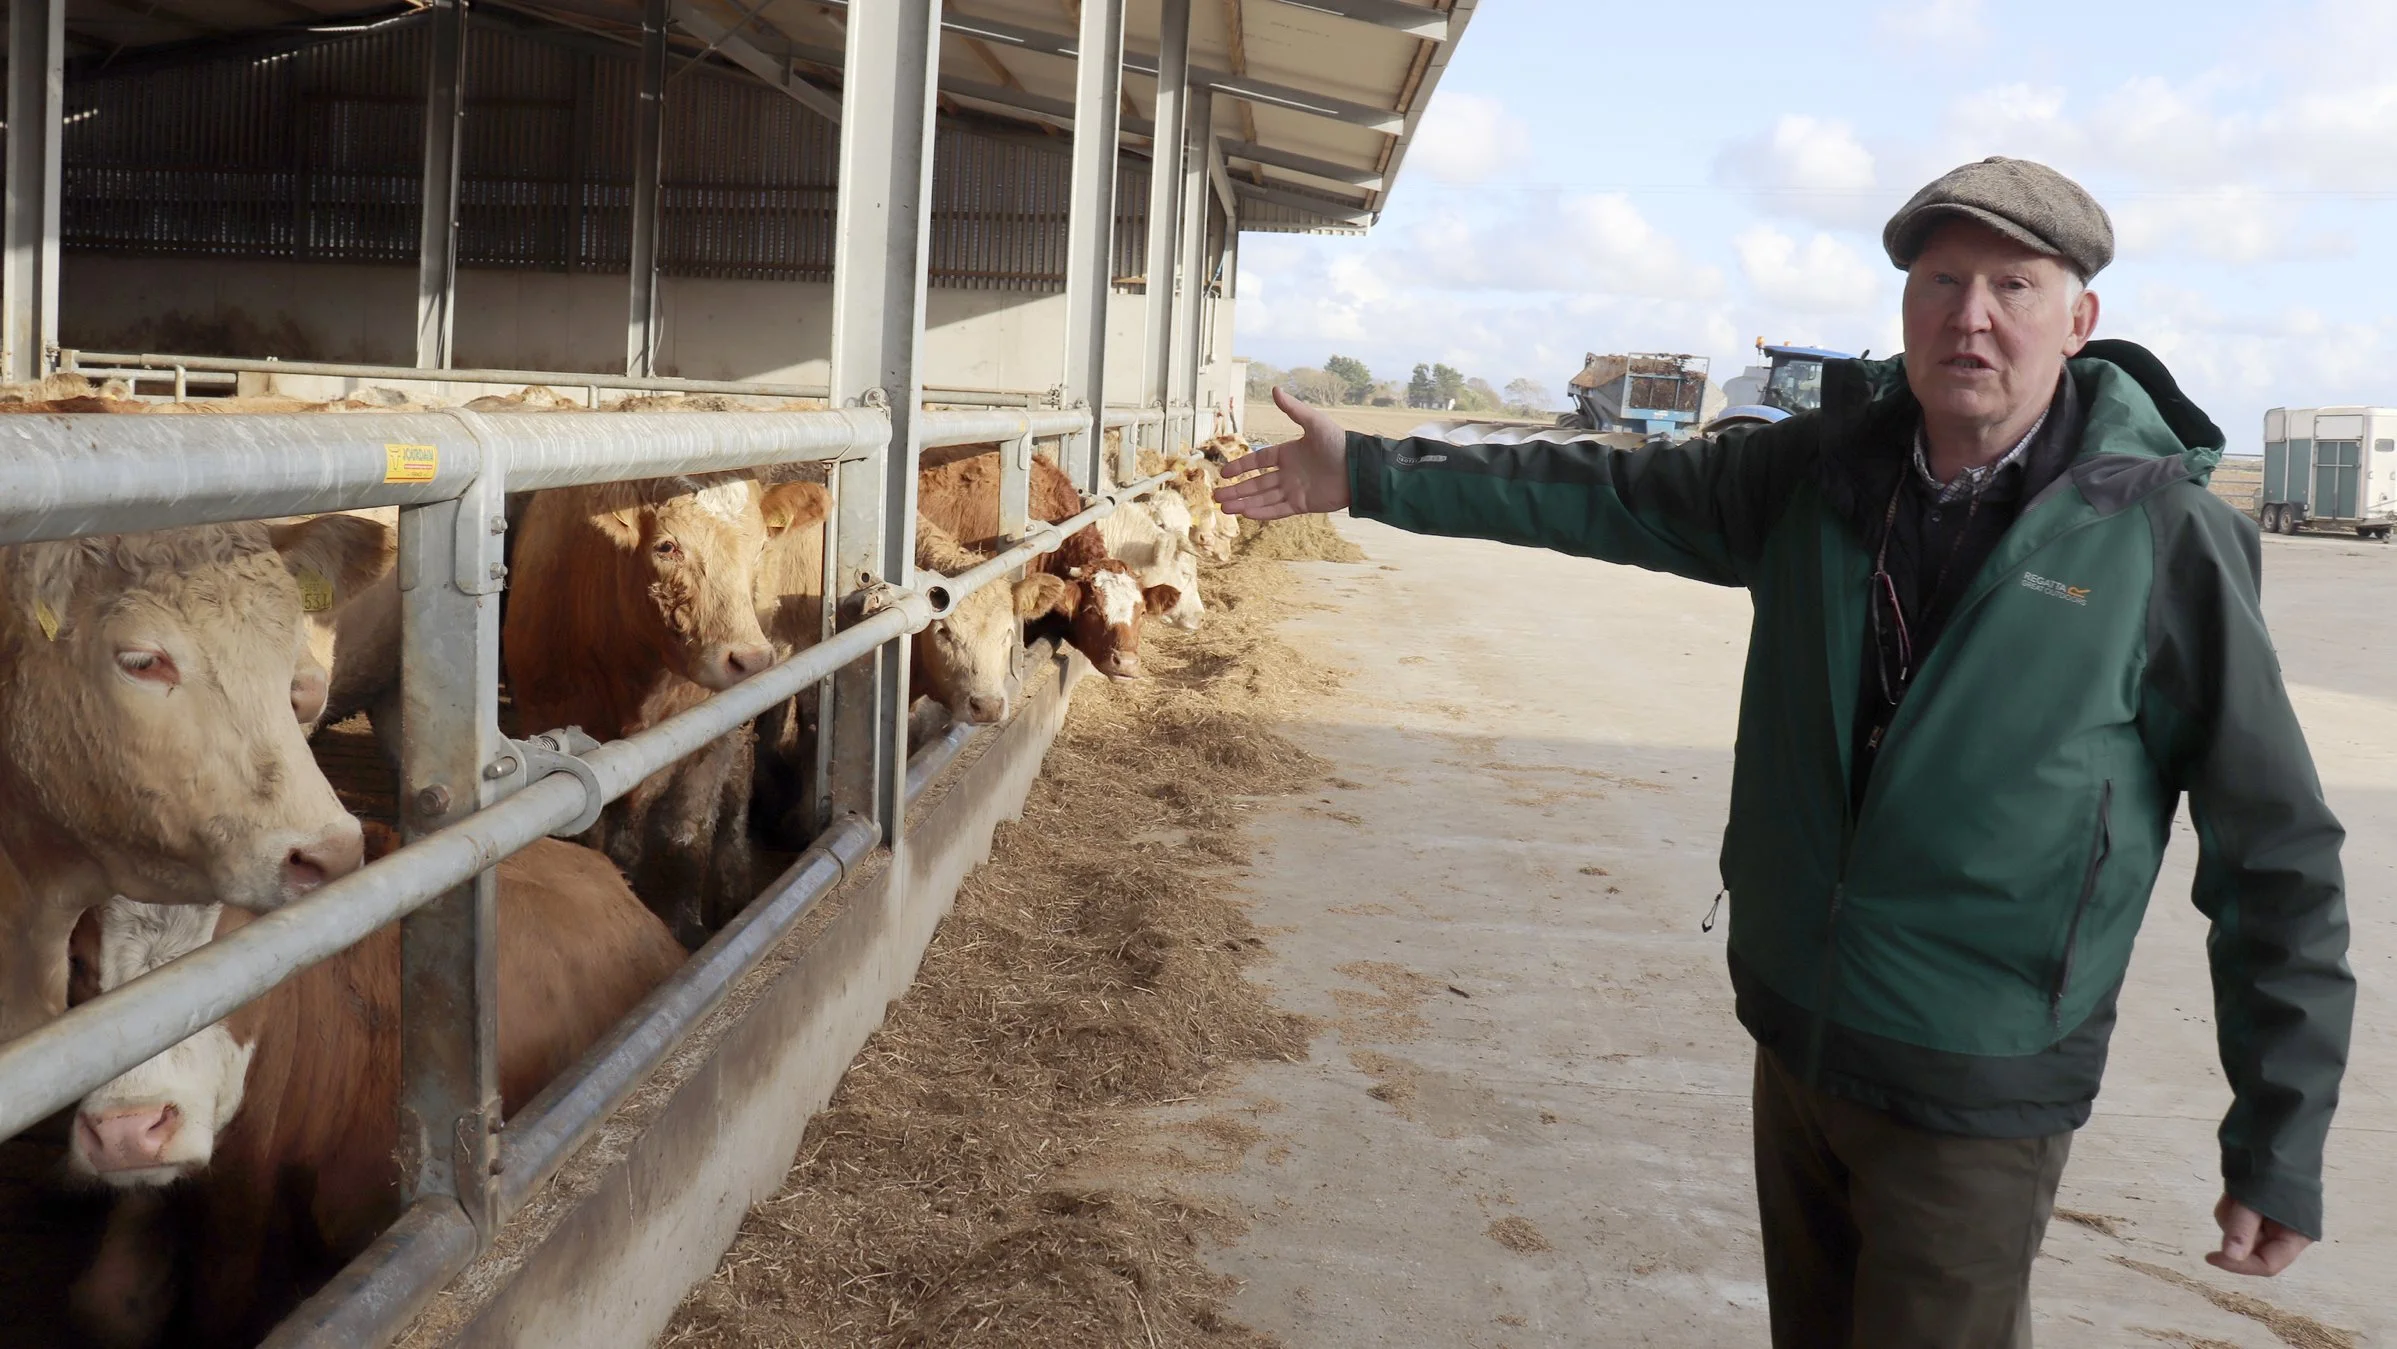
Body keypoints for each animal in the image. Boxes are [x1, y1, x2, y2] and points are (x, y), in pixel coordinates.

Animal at [503, 474, 814, 948]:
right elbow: (594, 840)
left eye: (762, 545)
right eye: (667, 546)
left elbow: (686, 838)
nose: (749, 660)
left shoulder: (709, 738)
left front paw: (687, 927)